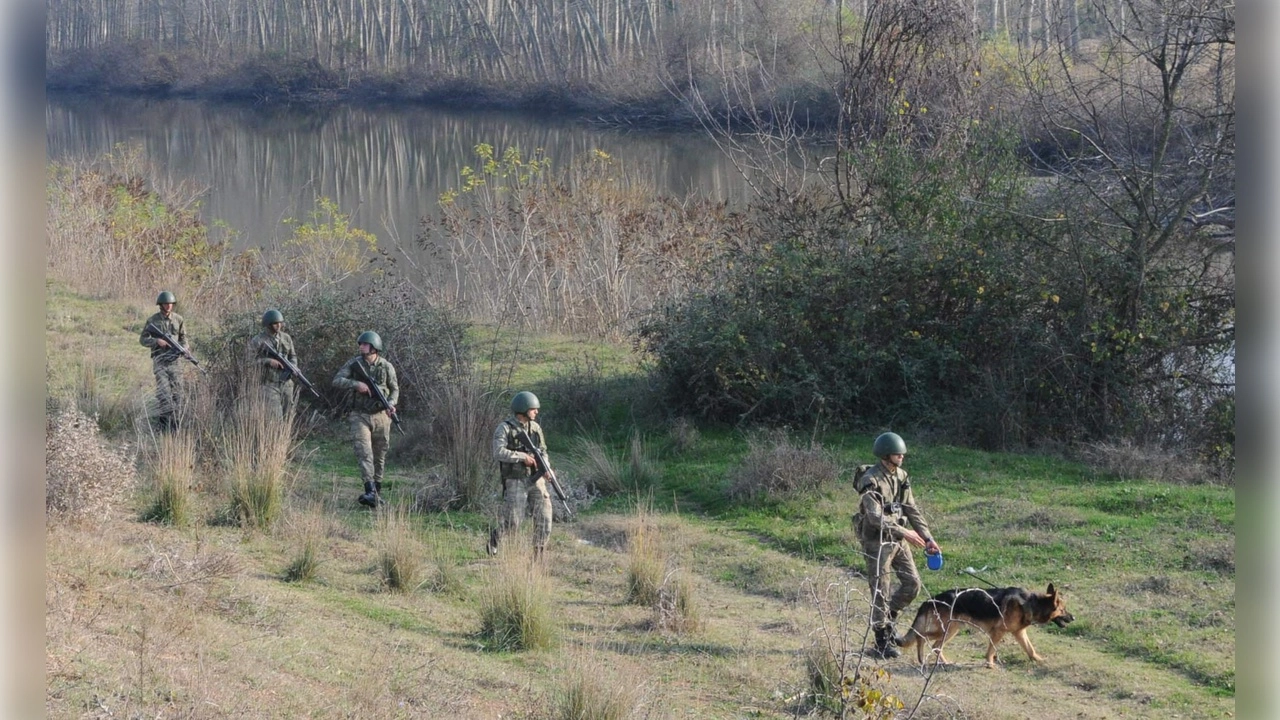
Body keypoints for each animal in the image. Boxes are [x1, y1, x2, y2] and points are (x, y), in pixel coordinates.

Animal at [896, 579, 1075, 666]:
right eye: (1063, 609)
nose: (1074, 618)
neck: (1030, 603)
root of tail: (931, 599)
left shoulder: (1019, 633)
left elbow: (1030, 649)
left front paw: (1038, 660)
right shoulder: (998, 632)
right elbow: (991, 650)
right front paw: (989, 663)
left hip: (951, 630)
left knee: (935, 645)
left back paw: (944, 662)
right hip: (946, 629)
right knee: (921, 636)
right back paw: (921, 657)